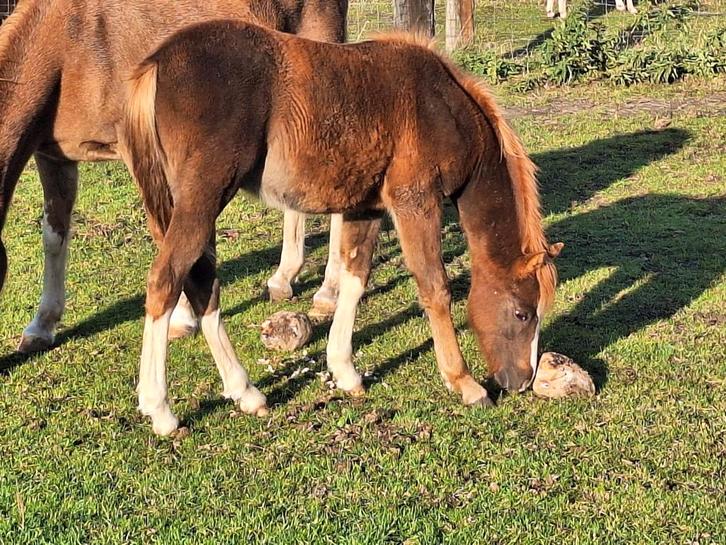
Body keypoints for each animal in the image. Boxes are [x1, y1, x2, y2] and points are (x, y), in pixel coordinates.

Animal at [0, 0, 347, 355]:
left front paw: (181, 321)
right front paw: (41, 327)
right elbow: (54, 235)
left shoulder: (137, 149)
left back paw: (328, 295)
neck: (69, 44)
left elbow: (162, 232)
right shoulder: (53, 156)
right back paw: (283, 279)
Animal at [119, 21, 564, 435]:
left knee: (202, 286)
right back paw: (161, 410)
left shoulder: (365, 207)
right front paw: (464, 383)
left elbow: (354, 279)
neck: (443, 105)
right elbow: (435, 287)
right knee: (166, 280)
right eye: (523, 313)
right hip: (202, 199)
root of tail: (158, 61)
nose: (522, 382)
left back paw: (246, 393)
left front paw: (345, 371)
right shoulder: (415, 201)